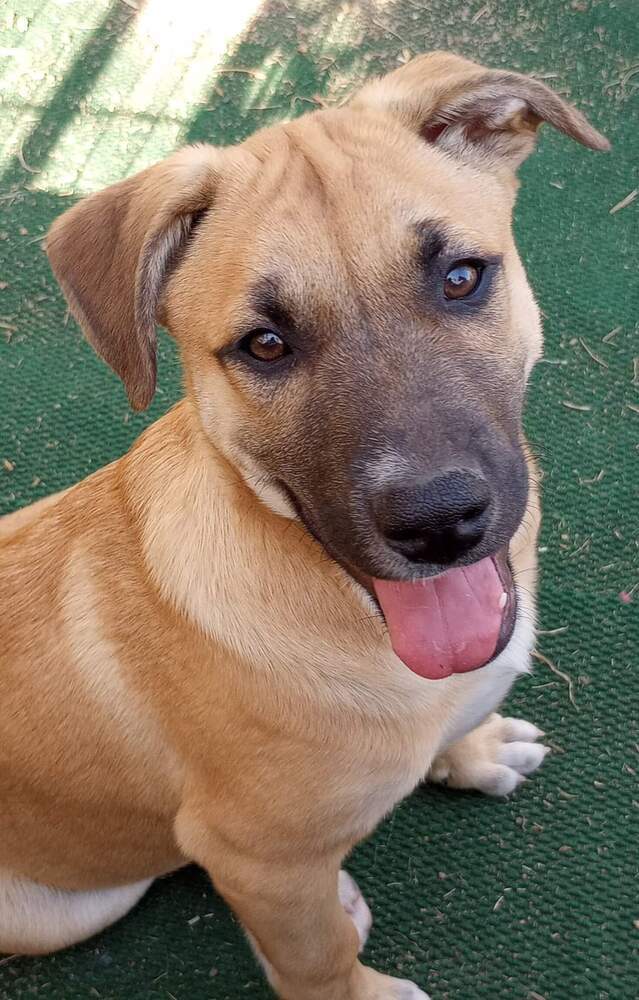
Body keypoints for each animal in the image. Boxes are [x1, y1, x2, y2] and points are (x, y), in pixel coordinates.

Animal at [0, 54, 608, 1000]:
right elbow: (315, 957)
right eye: (263, 345)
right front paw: (361, 987)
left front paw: (471, 750)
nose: (439, 523)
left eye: (460, 277)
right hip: (74, 904)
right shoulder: (259, 862)